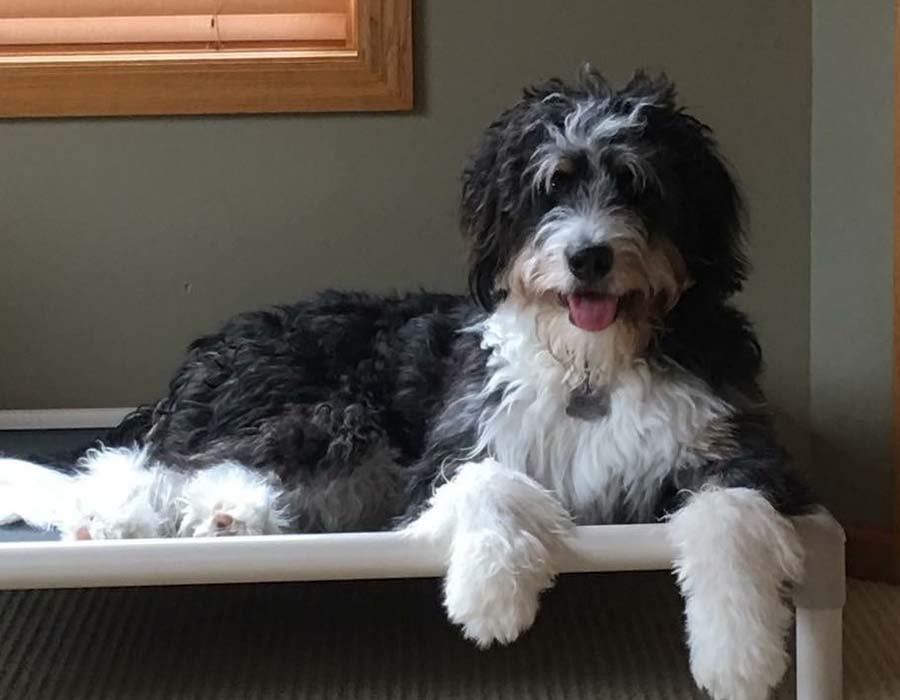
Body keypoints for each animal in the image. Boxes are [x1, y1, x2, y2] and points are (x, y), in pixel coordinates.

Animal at [0, 67, 812, 700]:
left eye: (639, 187)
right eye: (551, 187)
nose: (589, 257)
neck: (593, 362)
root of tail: (203, 355)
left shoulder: (739, 446)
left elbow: (731, 519)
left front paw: (740, 654)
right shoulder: (453, 446)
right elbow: (490, 484)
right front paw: (491, 592)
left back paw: (225, 516)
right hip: (322, 411)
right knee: (142, 466)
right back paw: (126, 518)